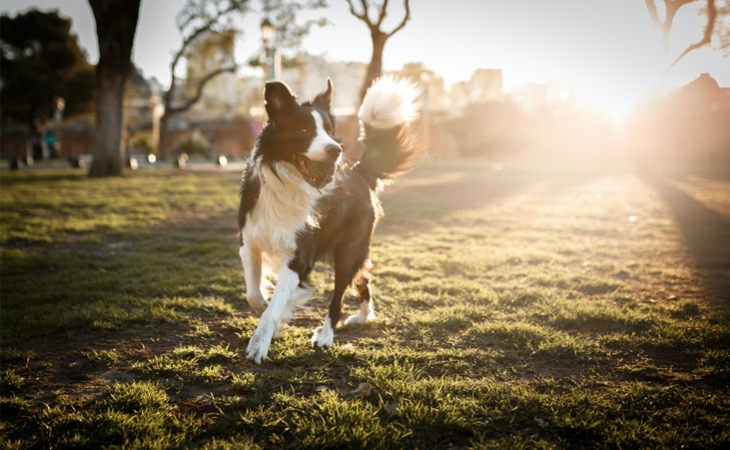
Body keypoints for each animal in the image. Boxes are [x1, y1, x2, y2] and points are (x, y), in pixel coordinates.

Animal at [237, 75, 418, 364]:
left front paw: (260, 341)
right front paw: (271, 315)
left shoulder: (299, 258)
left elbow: (275, 304)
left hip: (349, 250)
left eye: (331, 131)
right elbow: (254, 295)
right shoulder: (249, 242)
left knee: (339, 297)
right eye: (303, 130)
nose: (336, 149)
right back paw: (364, 317)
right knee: (364, 280)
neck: (288, 183)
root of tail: (360, 173)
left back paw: (326, 336)